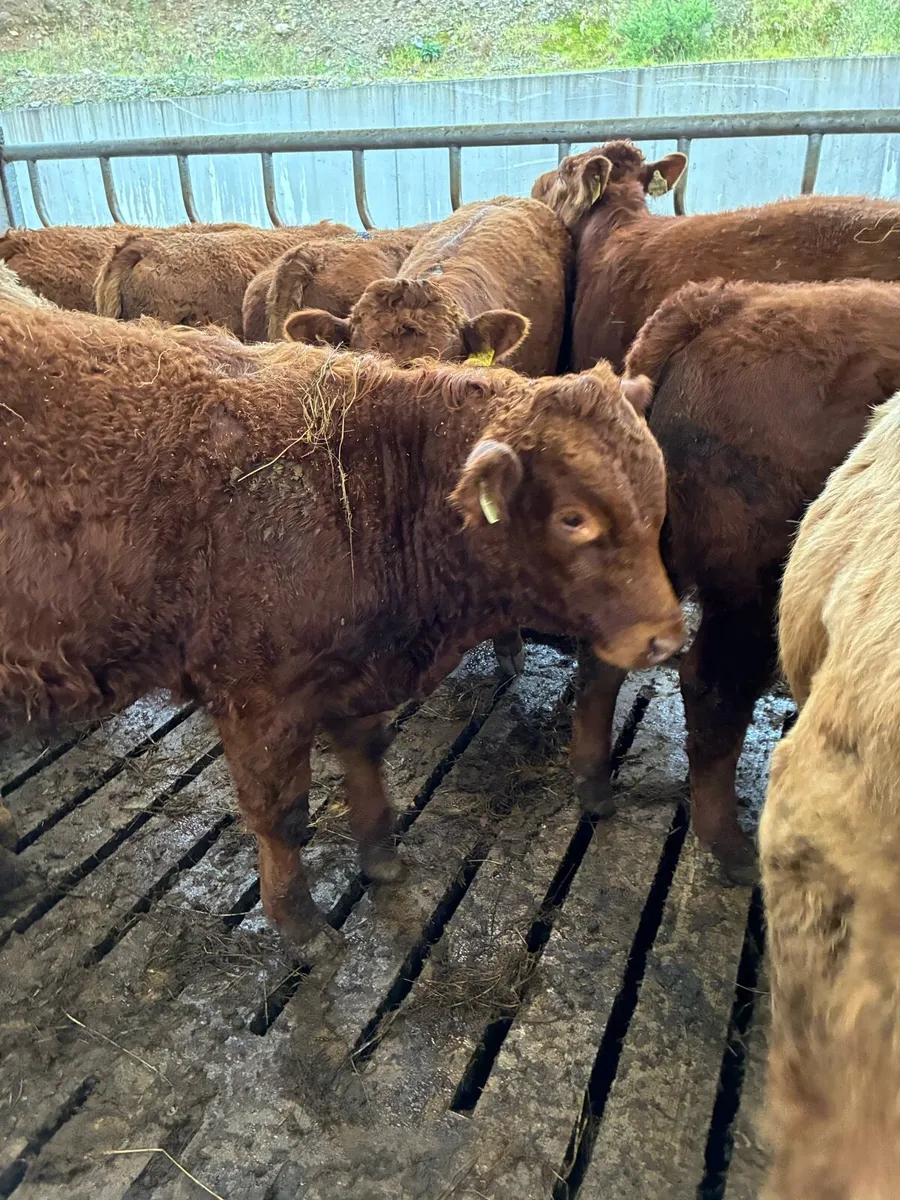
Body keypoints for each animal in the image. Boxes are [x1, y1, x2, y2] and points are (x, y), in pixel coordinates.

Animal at [0, 303, 683, 941]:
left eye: (658, 488)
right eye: (573, 518)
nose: (667, 637)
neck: (357, 478)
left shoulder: (353, 671)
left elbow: (365, 753)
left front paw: (382, 859)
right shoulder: (256, 699)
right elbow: (281, 816)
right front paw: (300, 925)